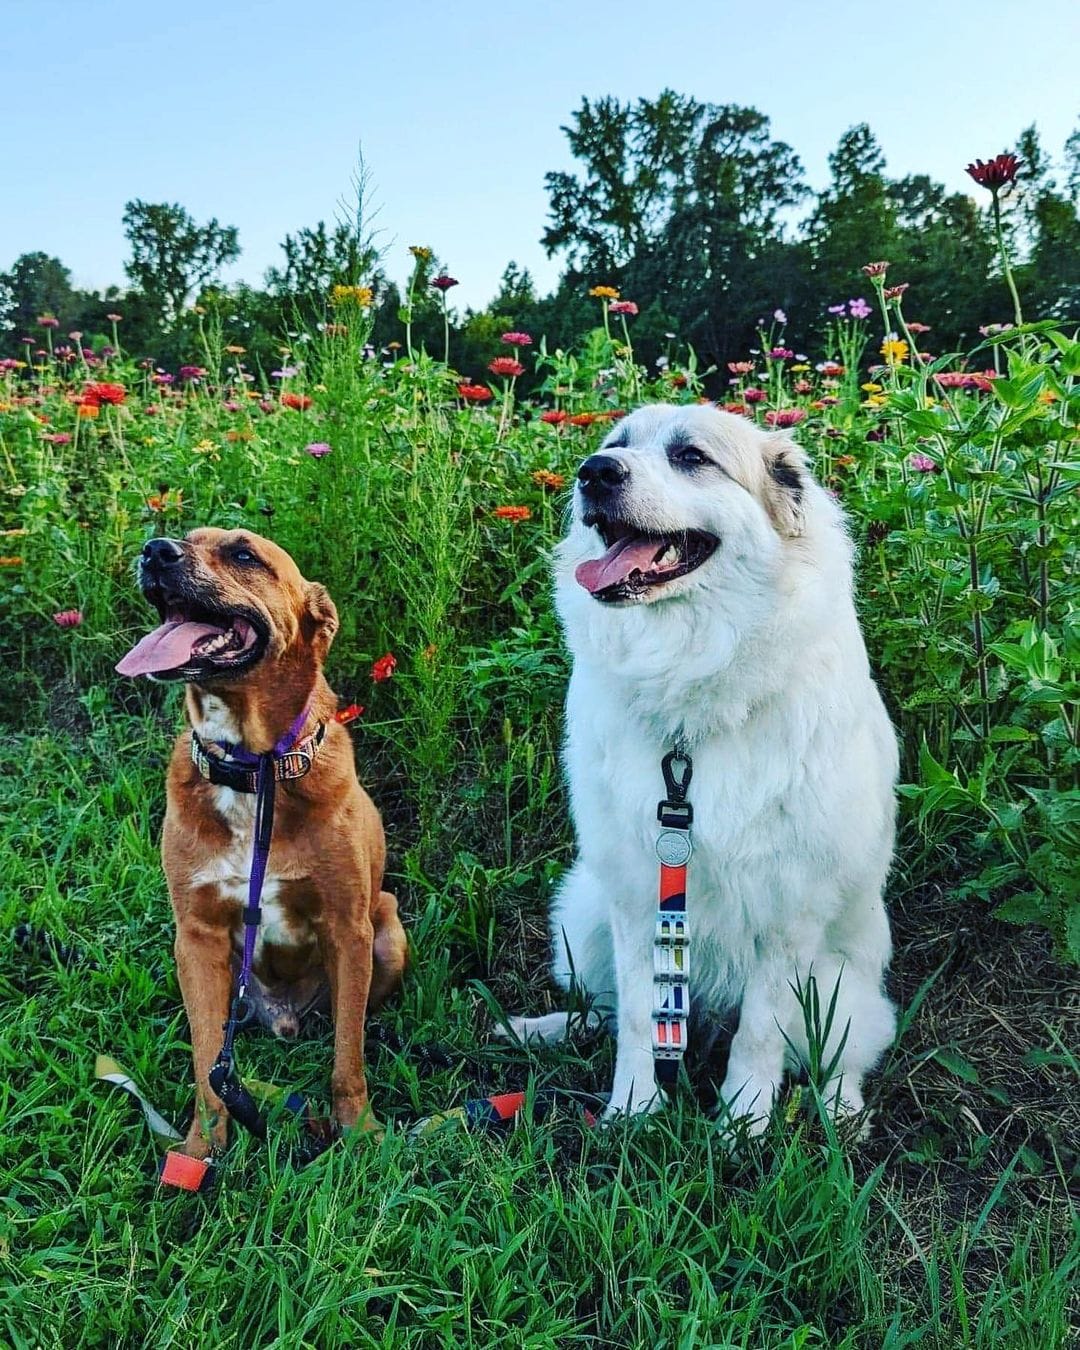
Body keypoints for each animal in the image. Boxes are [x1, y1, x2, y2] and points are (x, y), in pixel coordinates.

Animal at [116, 526, 405, 1161]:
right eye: (184, 537)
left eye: (244, 553)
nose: (155, 550)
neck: (254, 770)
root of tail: (283, 1018)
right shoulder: (197, 939)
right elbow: (208, 1067)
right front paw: (202, 1150)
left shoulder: (348, 927)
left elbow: (347, 1056)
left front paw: (359, 1132)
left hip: (389, 932)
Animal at [504, 399, 896, 1128]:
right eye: (617, 443)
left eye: (691, 457)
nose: (594, 472)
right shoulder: (636, 897)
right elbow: (636, 1017)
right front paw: (632, 1111)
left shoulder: (787, 910)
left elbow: (762, 1034)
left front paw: (743, 1126)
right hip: (583, 915)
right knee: (601, 1010)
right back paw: (544, 1031)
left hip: (841, 986)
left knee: (843, 1056)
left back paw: (842, 1114)